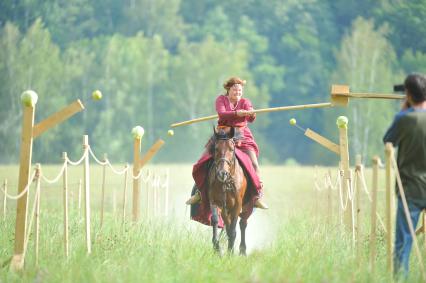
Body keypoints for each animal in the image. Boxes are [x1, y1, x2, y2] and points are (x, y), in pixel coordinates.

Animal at [208, 127, 248, 256]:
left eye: (231, 149)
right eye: (216, 148)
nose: (222, 173)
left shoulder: (237, 205)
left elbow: (233, 230)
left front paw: (230, 253)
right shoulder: (215, 202)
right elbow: (215, 220)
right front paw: (216, 247)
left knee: (242, 223)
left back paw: (242, 250)